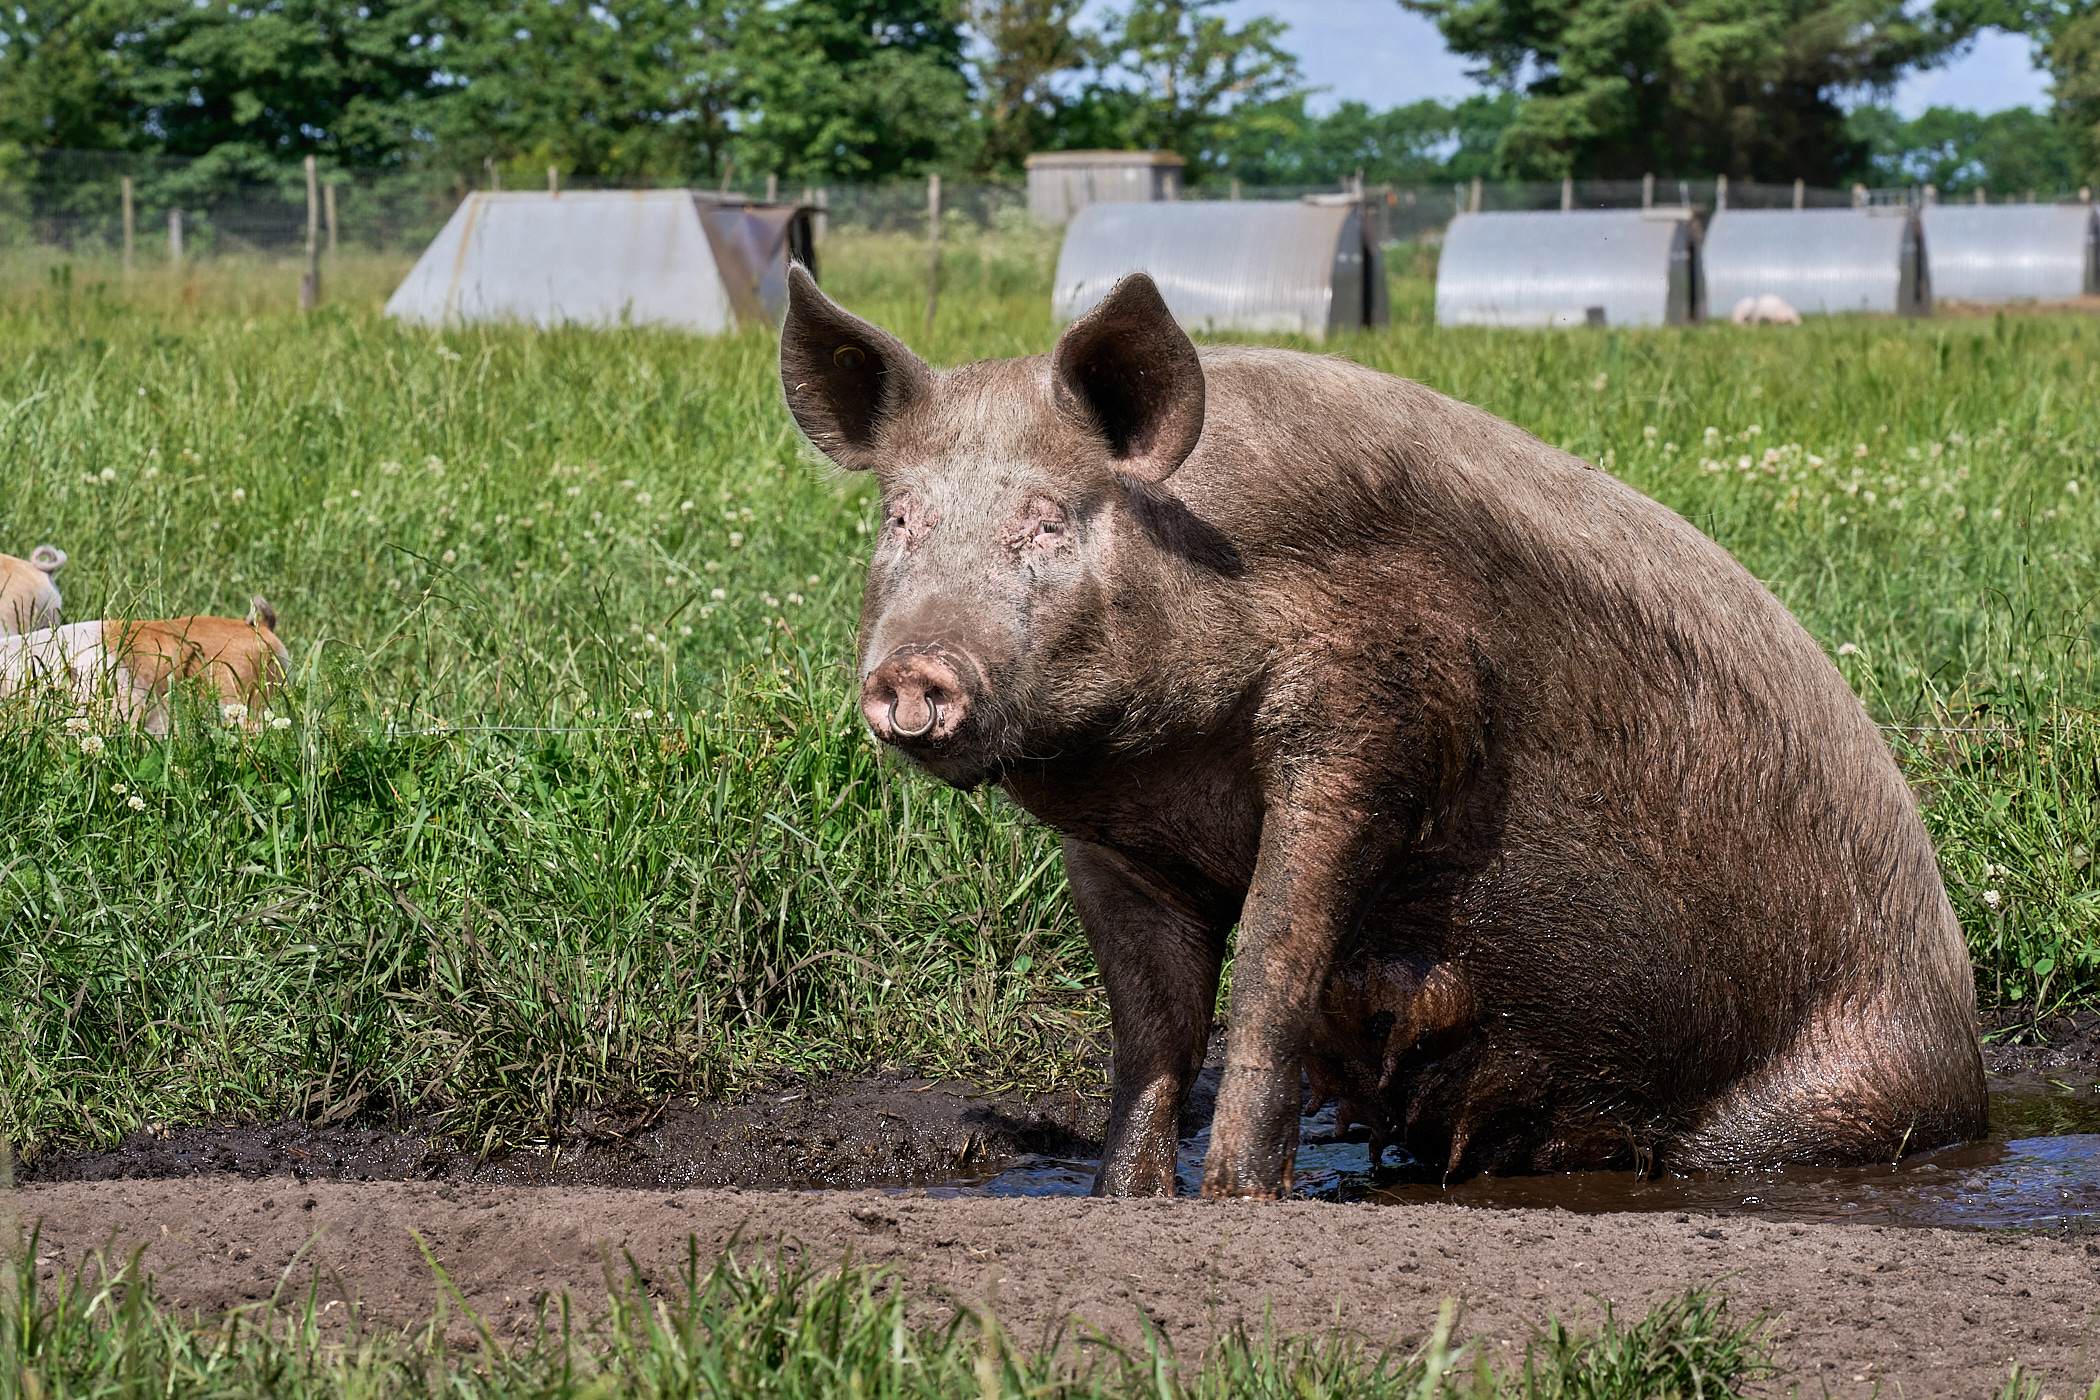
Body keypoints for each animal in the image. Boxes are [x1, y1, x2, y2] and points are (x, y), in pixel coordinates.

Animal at [779, 266, 1987, 1199]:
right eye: (900, 518)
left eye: (1047, 521)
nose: (914, 672)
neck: (1166, 761)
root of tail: (1966, 1063)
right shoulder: (1116, 845)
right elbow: (1149, 1023)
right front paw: (1123, 1197)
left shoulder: (1374, 725)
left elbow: (1272, 967)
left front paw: (1240, 1198)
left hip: (1842, 1089)